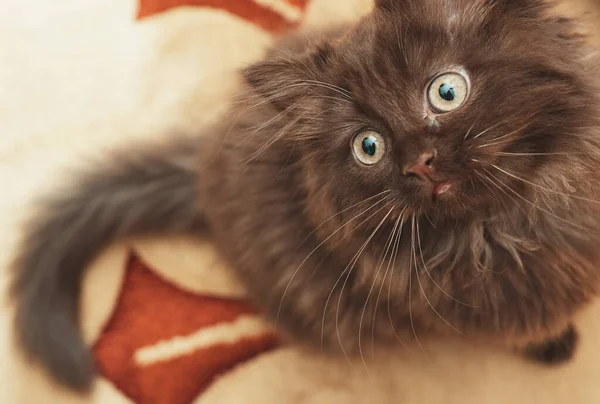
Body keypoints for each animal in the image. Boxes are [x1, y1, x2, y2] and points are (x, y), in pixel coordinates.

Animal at [8, 0, 600, 392]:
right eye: (369, 146)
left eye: (446, 91)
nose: (418, 162)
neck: (504, 224)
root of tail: (203, 170)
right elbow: (524, 323)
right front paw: (554, 344)